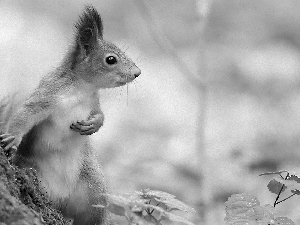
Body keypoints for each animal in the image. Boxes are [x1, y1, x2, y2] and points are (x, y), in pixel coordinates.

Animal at [0, 5, 140, 225]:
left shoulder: (93, 103)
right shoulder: (46, 96)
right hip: (31, 169)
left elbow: (100, 115)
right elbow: (26, 114)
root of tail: (60, 199)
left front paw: (93, 125)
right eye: (111, 59)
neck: (81, 89)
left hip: (93, 189)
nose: (137, 72)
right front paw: (12, 138)